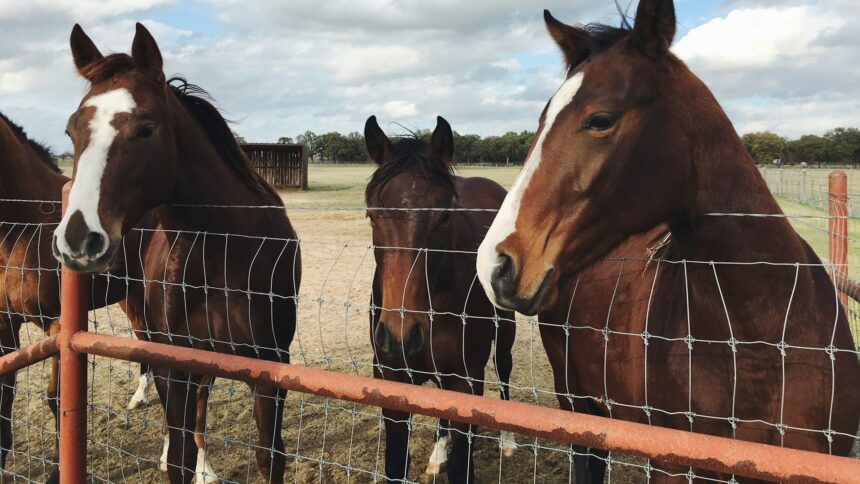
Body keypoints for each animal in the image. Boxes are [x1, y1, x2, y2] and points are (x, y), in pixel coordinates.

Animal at [53, 23, 301, 484]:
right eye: (71, 131)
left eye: (146, 129)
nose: (79, 239)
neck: (226, 251)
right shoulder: (176, 364)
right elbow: (179, 458)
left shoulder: (270, 370)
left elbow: (270, 457)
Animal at [364, 116, 517, 483]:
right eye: (372, 215)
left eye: (444, 216)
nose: (400, 336)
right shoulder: (392, 380)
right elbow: (395, 465)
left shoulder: (466, 382)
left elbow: (463, 467)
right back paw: (437, 453)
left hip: (505, 331)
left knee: (504, 368)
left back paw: (507, 441)